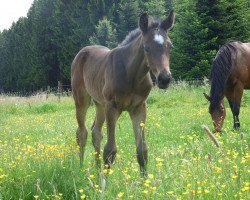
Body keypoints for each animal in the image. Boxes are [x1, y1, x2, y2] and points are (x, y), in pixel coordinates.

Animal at [71, 11, 175, 177]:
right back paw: (82, 168)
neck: (131, 75)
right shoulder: (112, 106)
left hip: (100, 104)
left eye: (170, 46)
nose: (164, 78)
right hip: (82, 100)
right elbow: (110, 150)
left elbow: (142, 151)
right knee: (82, 133)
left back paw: (97, 170)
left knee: (96, 133)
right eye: (146, 48)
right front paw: (105, 182)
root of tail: (83, 51)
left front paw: (145, 182)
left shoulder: (139, 108)